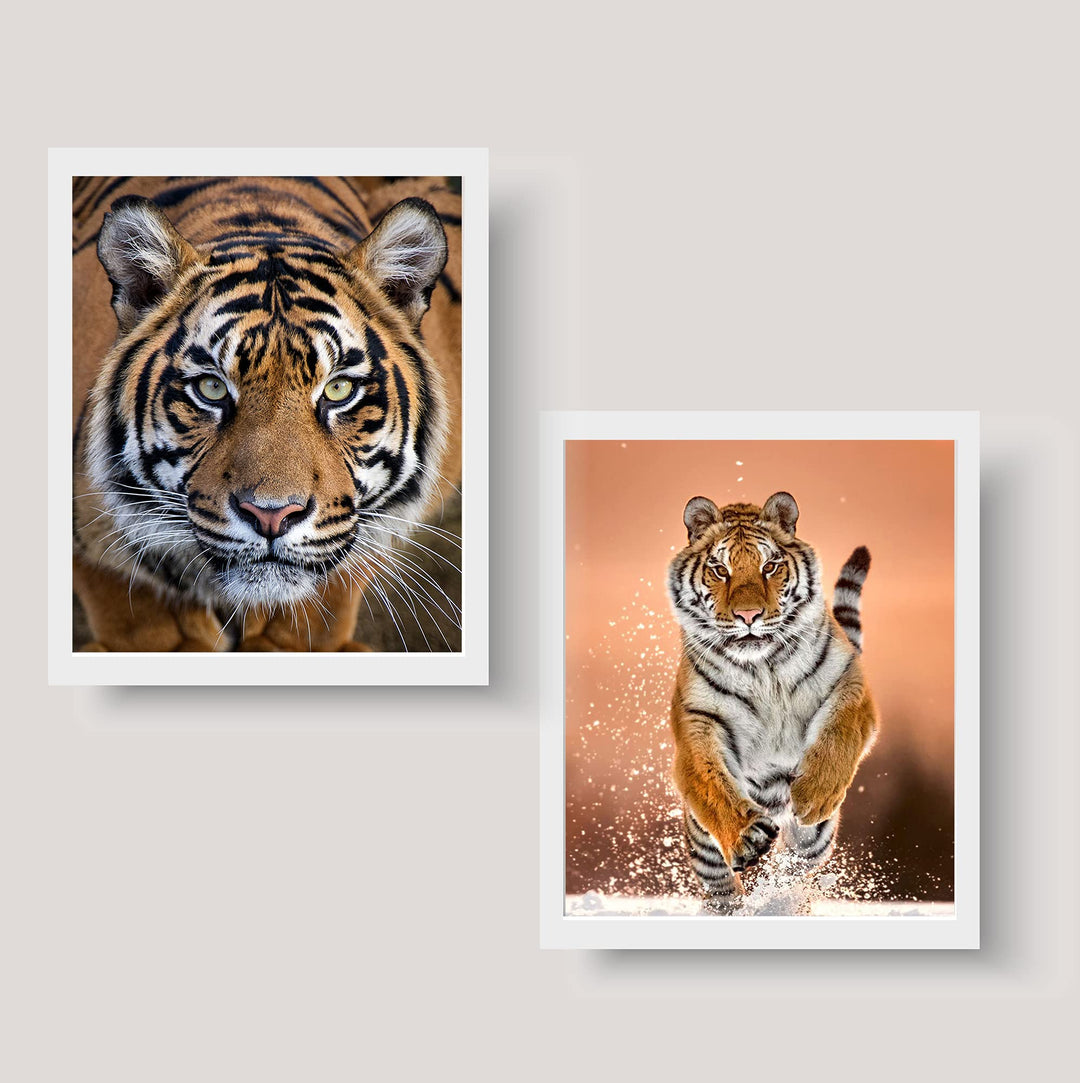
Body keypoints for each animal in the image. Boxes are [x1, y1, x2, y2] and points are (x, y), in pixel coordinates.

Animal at [666, 491, 879, 912]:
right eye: (720, 569)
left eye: (770, 566)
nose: (748, 615)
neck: (762, 668)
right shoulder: (698, 720)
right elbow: (713, 782)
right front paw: (748, 836)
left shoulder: (850, 683)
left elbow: (839, 735)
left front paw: (813, 795)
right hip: (703, 847)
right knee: (721, 886)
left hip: (814, 843)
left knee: (793, 872)